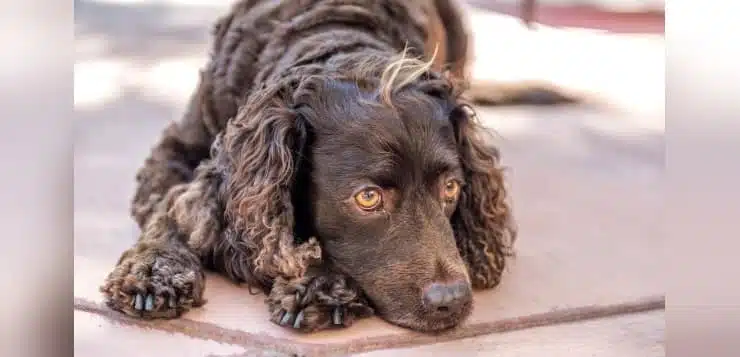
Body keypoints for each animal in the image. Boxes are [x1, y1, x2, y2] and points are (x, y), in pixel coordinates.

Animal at [98, 0, 576, 332]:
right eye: (367, 197)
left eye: (451, 189)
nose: (452, 300)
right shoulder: (177, 153)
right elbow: (171, 213)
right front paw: (153, 272)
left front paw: (319, 283)